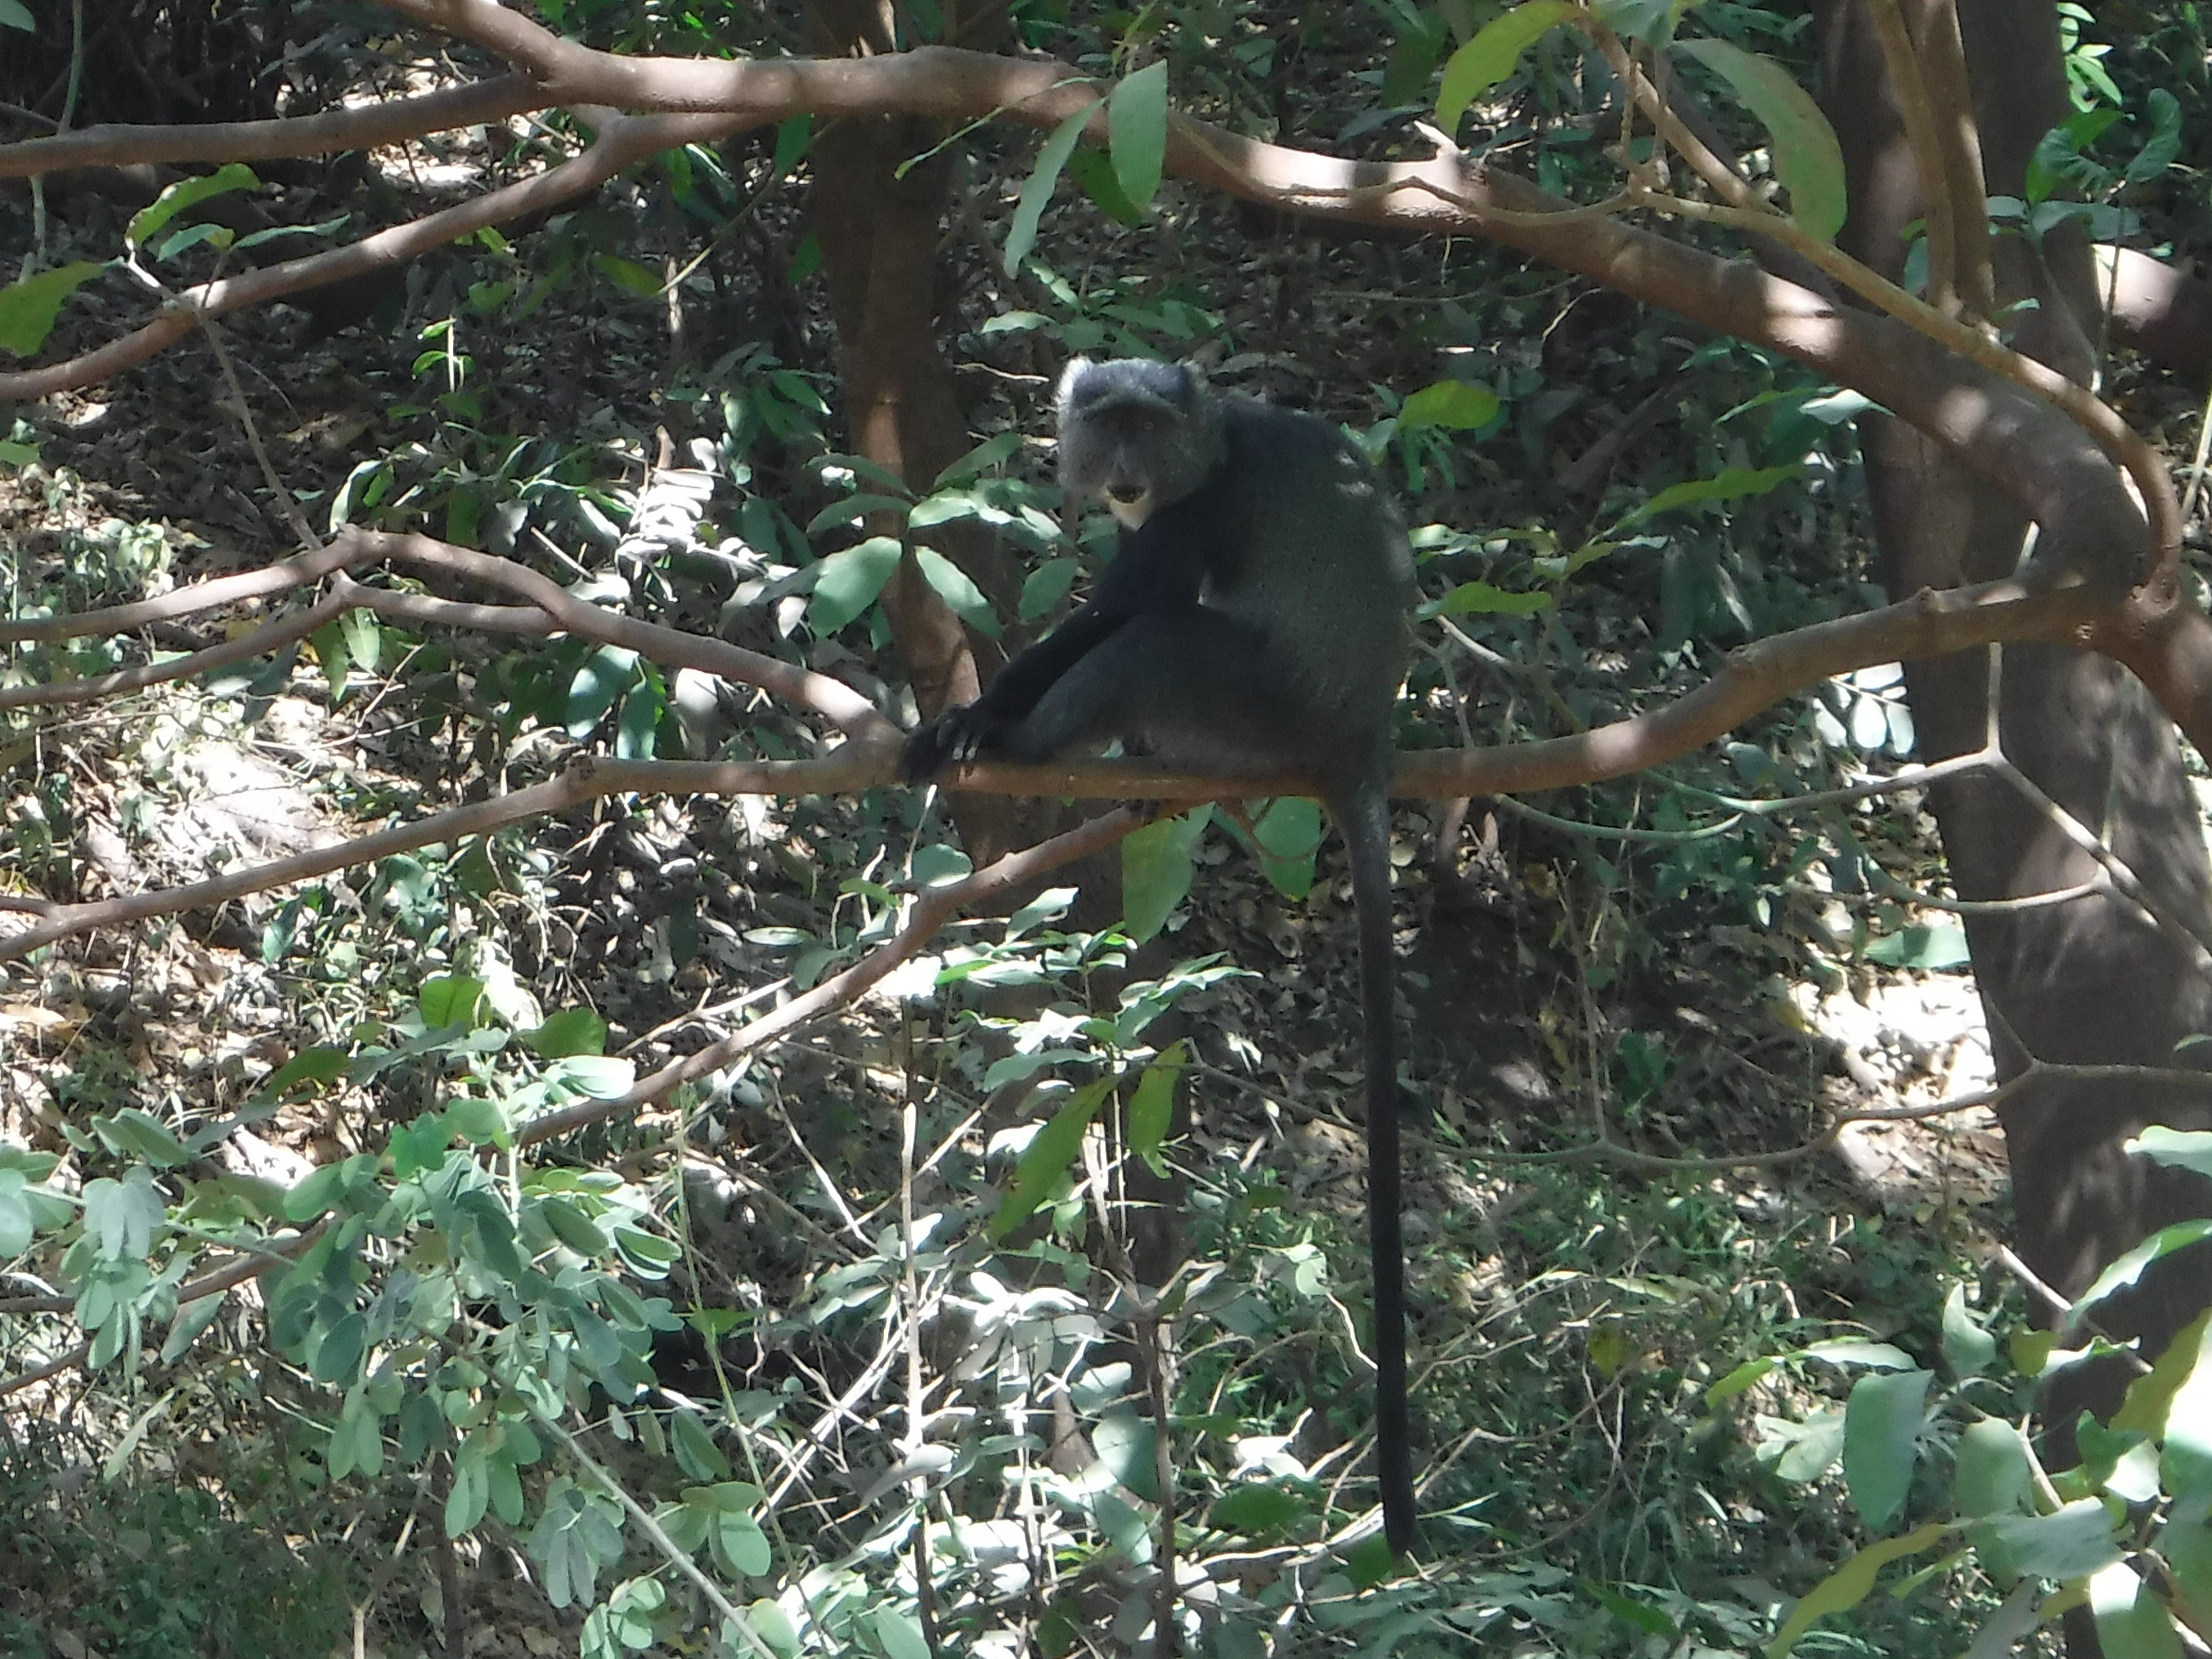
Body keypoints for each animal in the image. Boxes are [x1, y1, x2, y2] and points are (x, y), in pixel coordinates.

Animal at [902, 357, 1420, 1553]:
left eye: (1146, 424)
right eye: (1108, 424)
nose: (1126, 474)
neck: (1213, 440)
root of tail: (1358, 734)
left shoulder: (1192, 520)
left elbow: (1116, 616)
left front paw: (973, 724)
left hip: (1251, 709)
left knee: (1153, 644)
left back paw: (1026, 745)